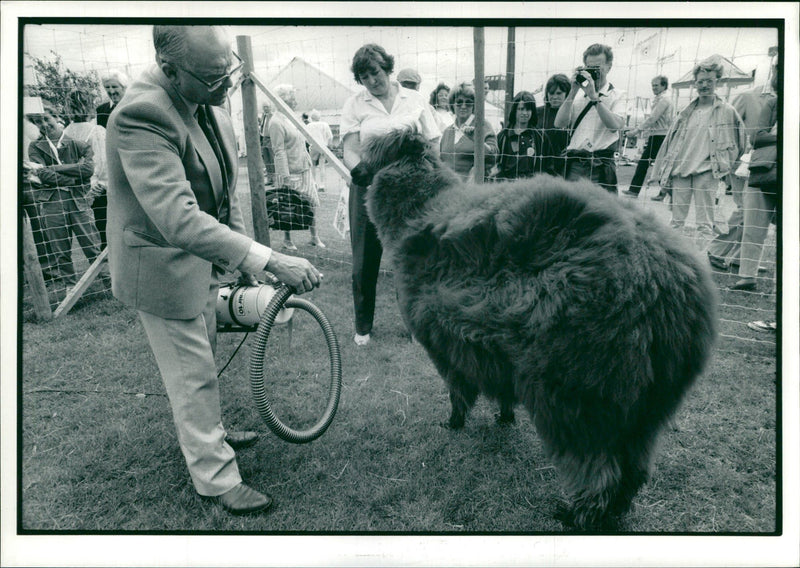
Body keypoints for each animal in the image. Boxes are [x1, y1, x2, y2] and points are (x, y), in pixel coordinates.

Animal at [356, 126, 720, 532]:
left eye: (371, 156)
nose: (354, 173)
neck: (419, 211)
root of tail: (662, 278)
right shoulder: (492, 349)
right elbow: (498, 391)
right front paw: (504, 417)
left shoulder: (445, 345)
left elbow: (458, 392)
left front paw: (454, 424)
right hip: (647, 403)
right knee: (634, 468)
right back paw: (616, 511)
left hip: (578, 389)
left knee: (597, 468)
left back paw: (576, 516)